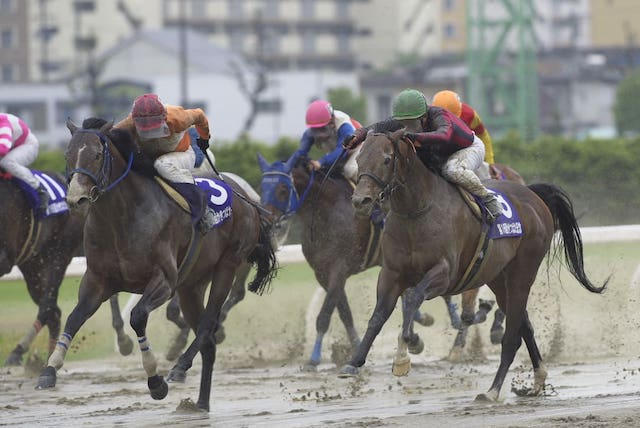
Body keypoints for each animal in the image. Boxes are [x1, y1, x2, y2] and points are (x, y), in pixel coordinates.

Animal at [0, 171, 84, 364]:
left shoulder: (4, 257)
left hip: (58, 254)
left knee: (47, 307)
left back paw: (19, 352)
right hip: (33, 265)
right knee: (53, 312)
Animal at [34, 118, 276, 412]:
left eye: (97, 154)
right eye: (67, 155)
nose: (76, 199)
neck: (120, 218)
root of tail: (246, 198)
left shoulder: (164, 281)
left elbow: (138, 317)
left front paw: (156, 382)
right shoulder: (97, 280)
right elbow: (75, 317)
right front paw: (49, 371)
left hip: (227, 266)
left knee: (208, 326)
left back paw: (179, 367)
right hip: (192, 285)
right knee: (208, 341)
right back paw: (200, 403)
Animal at [340, 128, 604, 402]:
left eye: (386, 159)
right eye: (360, 160)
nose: (361, 200)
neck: (416, 212)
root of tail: (533, 196)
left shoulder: (445, 274)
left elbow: (412, 297)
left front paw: (403, 355)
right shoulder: (391, 273)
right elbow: (378, 316)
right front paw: (354, 361)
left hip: (522, 273)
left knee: (512, 337)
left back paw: (493, 390)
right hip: (498, 278)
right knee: (524, 325)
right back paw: (537, 380)